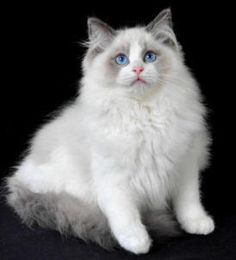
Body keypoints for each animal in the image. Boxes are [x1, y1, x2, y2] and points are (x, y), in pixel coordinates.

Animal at [4, 9, 215, 255]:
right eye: (121, 59)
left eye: (149, 57)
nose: (138, 69)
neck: (143, 113)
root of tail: (18, 176)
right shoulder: (114, 179)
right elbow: (125, 216)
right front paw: (138, 243)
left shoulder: (185, 165)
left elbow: (189, 203)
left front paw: (199, 224)